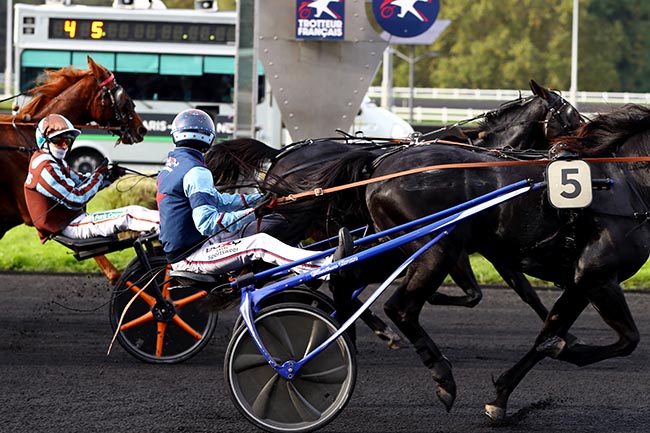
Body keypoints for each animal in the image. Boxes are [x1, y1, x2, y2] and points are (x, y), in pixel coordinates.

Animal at [312, 102, 644, 418]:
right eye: (570, 113)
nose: (568, 146)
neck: (624, 185)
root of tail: (380, 165)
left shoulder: (576, 280)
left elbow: (544, 324)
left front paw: (502, 397)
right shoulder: (595, 276)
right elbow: (627, 339)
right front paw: (563, 348)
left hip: (398, 245)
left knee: (345, 278)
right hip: (436, 248)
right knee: (400, 307)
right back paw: (442, 378)